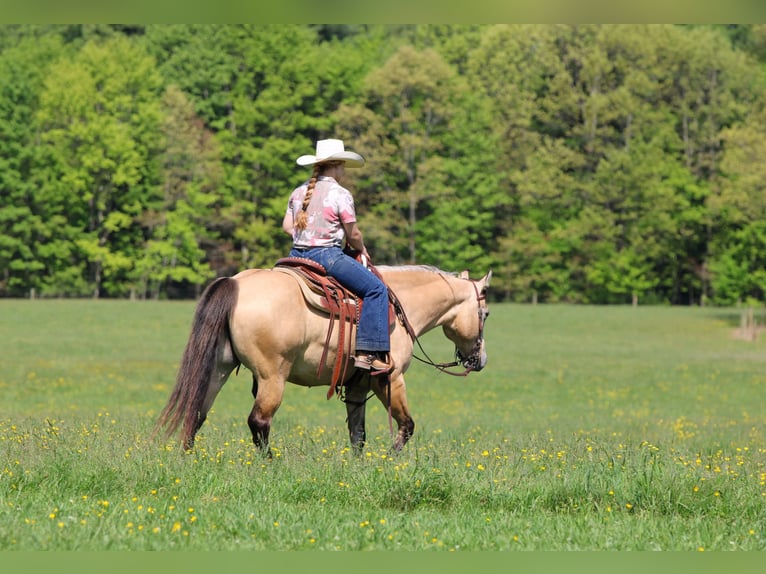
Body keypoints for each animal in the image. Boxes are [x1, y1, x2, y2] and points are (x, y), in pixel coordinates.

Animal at [155, 264, 491, 453]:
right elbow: (406, 425)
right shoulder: (390, 378)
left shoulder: (358, 385)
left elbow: (358, 433)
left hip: (219, 368)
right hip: (271, 377)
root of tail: (235, 283)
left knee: (197, 411)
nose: (480, 359)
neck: (399, 306)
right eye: (485, 314)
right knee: (259, 421)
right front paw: (391, 458)